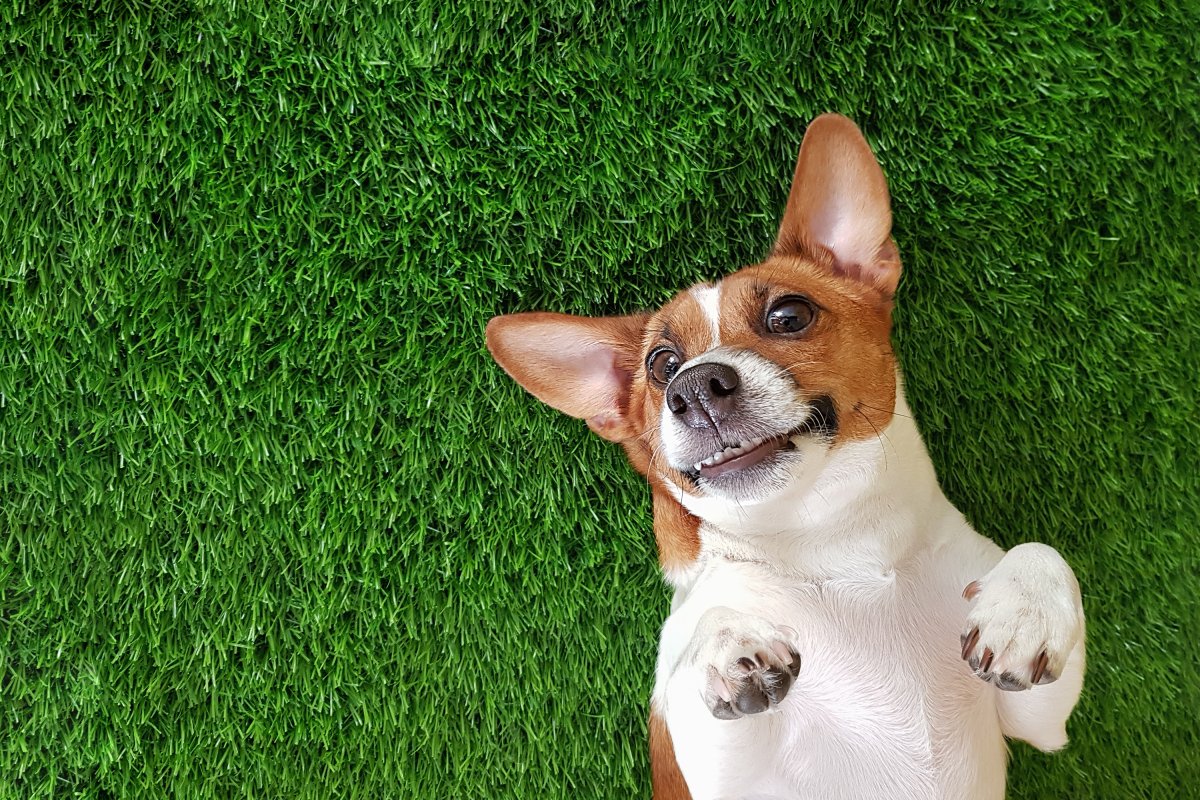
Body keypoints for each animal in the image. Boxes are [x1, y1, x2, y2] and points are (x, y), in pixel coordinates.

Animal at [484, 113, 1089, 800]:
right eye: (661, 365)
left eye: (789, 315)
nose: (695, 385)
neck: (832, 543)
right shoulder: (716, 775)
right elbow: (706, 641)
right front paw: (726, 643)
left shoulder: (1040, 724)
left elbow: (1044, 552)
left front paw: (1027, 609)